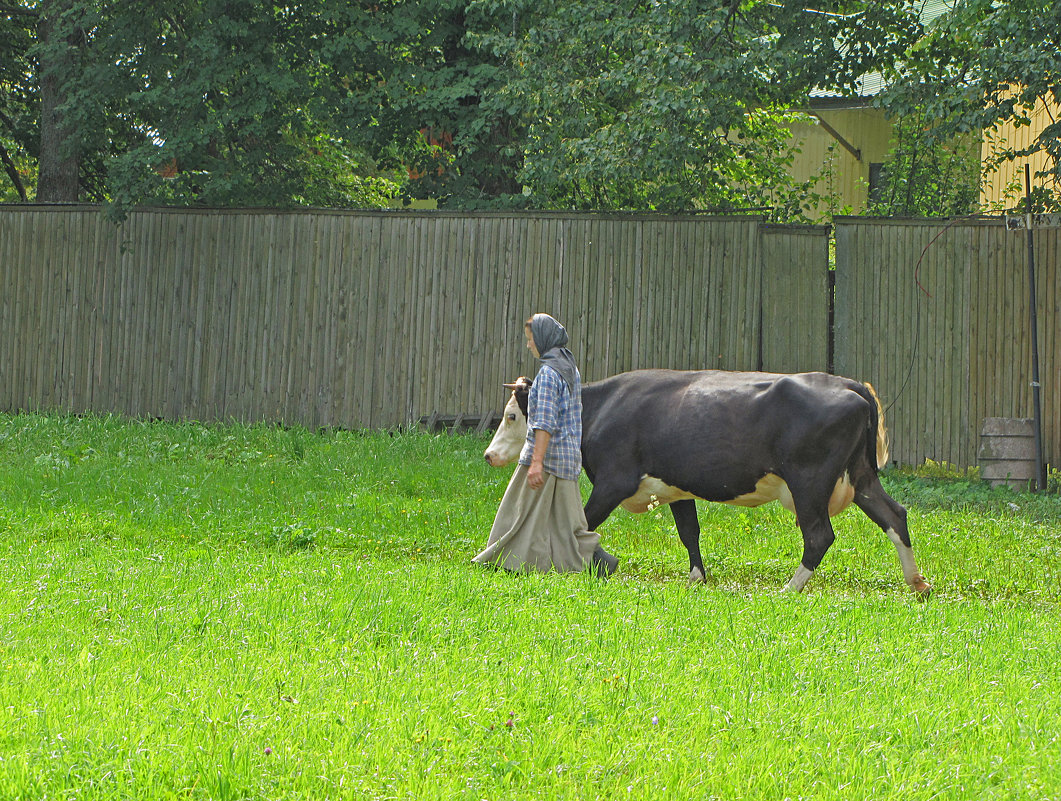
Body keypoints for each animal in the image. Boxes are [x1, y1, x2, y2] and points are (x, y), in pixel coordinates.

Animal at [485, 367, 933, 598]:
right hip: (860, 477)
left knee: (820, 535)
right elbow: (690, 532)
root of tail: (847, 383)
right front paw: (696, 578)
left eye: (511, 415)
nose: (490, 455)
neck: (599, 408)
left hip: (809, 482)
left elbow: (585, 523)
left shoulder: (614, 481)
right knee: (895, 515)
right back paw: (918, 583)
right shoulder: (676, 487)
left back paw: (788, 588)